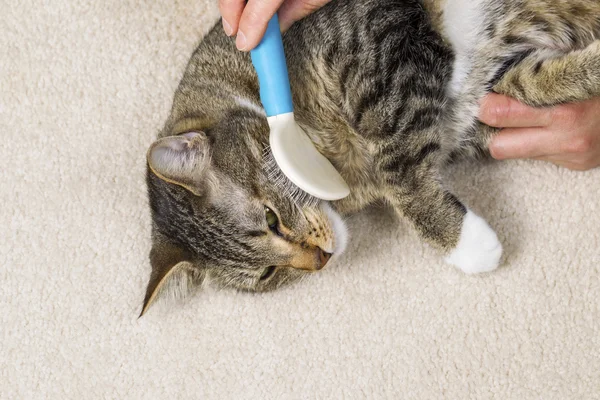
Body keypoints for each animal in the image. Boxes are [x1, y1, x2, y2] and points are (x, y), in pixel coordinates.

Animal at [137, 0, 600, 314]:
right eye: (267, 274)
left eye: (271, 218)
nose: (320, 261)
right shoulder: (482, 98)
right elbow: (533, 83)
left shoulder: (377, 45)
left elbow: (399, 168)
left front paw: (465, 243)